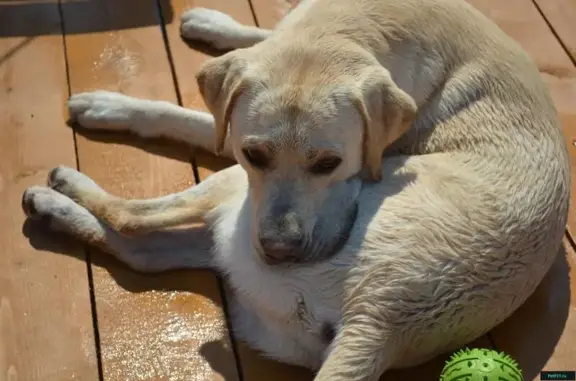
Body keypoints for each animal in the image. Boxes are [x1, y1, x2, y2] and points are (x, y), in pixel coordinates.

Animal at [21, 0, 568, 378]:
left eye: (331, 163)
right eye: (255, 154)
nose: (281, 249)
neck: (350, 26)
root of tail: (382, 321)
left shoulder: (233, 161)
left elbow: (186, 118)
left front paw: (109, 106)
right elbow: (259, 38)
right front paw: (214, 25)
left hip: (233, 203)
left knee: (135, 221)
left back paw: (59, 189)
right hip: (245, 248)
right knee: (145, 255)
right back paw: (55, 211)